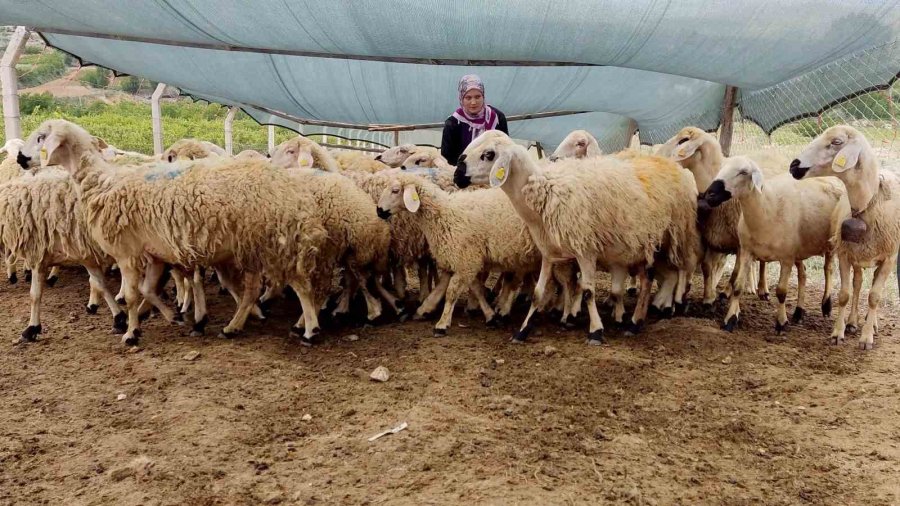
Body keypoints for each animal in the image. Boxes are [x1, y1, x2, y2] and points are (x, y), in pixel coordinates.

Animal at [454, 130, 700, 344]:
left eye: (489, 154)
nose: (457, 174)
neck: (548, 191)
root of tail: (669, 163)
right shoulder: (548, 252)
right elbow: (537, 293)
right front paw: (522, 331)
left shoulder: (585, 250)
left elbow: (588, 291)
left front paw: (595, 331)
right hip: (636, 244)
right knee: (648, 279)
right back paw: (634, 318)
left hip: (671, 237)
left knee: (669, 274)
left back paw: (649, 315)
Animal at [704, 156, 844, 334]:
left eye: (743, 172)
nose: (710, 194)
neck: (766, 208)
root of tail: (831, 177)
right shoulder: (746, 252)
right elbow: (738, 287)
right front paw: (730, 320)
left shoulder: (786, 258)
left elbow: (781, 292)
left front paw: (781, 322)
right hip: (798, 250)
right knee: (803, 274)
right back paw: (799, 312)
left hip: (830, 244)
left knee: (828, 269)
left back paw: (826, 305)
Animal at [792, 124, 896, 350]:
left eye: (837, 142)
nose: (794, 165)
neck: (866, 205)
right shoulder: (845, 255)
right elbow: (844, 295)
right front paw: (837, 333)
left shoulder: (889, 258)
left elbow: (874, 297)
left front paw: (866, 338)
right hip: (858, 255)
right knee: (857, 284)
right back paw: (852, 322)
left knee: (872, 286)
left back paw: (872, 325)